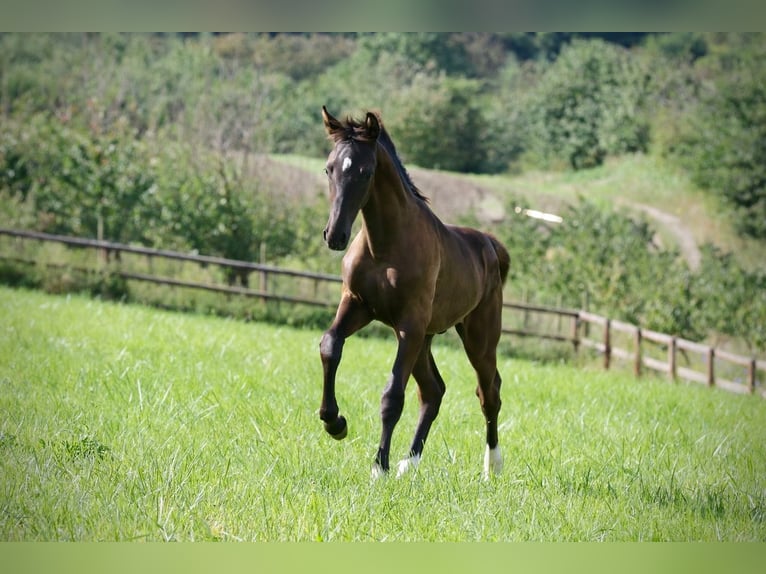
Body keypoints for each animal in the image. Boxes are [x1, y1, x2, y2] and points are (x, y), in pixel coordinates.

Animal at [318, 108, 510, 482]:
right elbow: (330, 345)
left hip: (476, 337)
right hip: (425, 337)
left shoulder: (409, 323)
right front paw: (335, 422)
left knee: (489, 392)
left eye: (365, 171)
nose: (335, 235)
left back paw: (492, 467)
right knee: (434, 391)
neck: (386, 246)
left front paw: (379, 467)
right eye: (329, 168)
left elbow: (392, 395)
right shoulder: (358, 305)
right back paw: (410, 463)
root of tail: (491, 245)